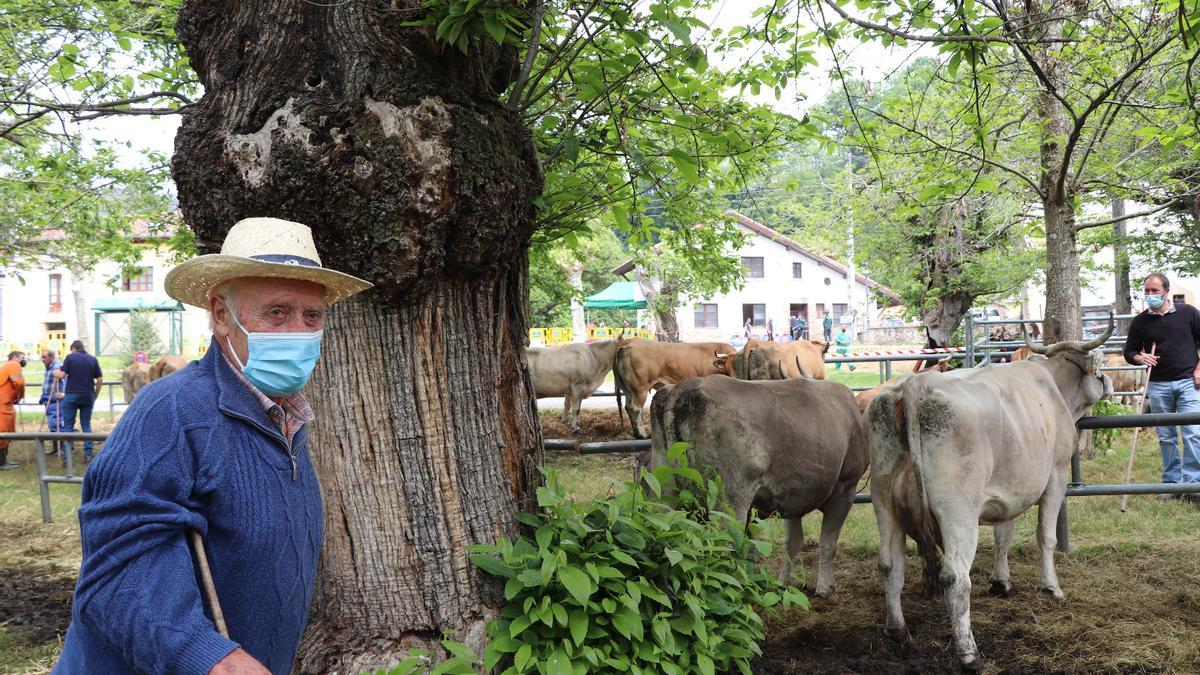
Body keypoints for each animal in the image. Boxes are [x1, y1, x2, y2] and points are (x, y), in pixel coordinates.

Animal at [652, 372, 868, 593]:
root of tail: (687, 385)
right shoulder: (846, 487)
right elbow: (828, 543)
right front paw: (825, 588)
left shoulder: (793, 496)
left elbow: (792, 541)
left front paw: (782, 583)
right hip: (730, 500)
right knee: (724, 545)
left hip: (663, 491)